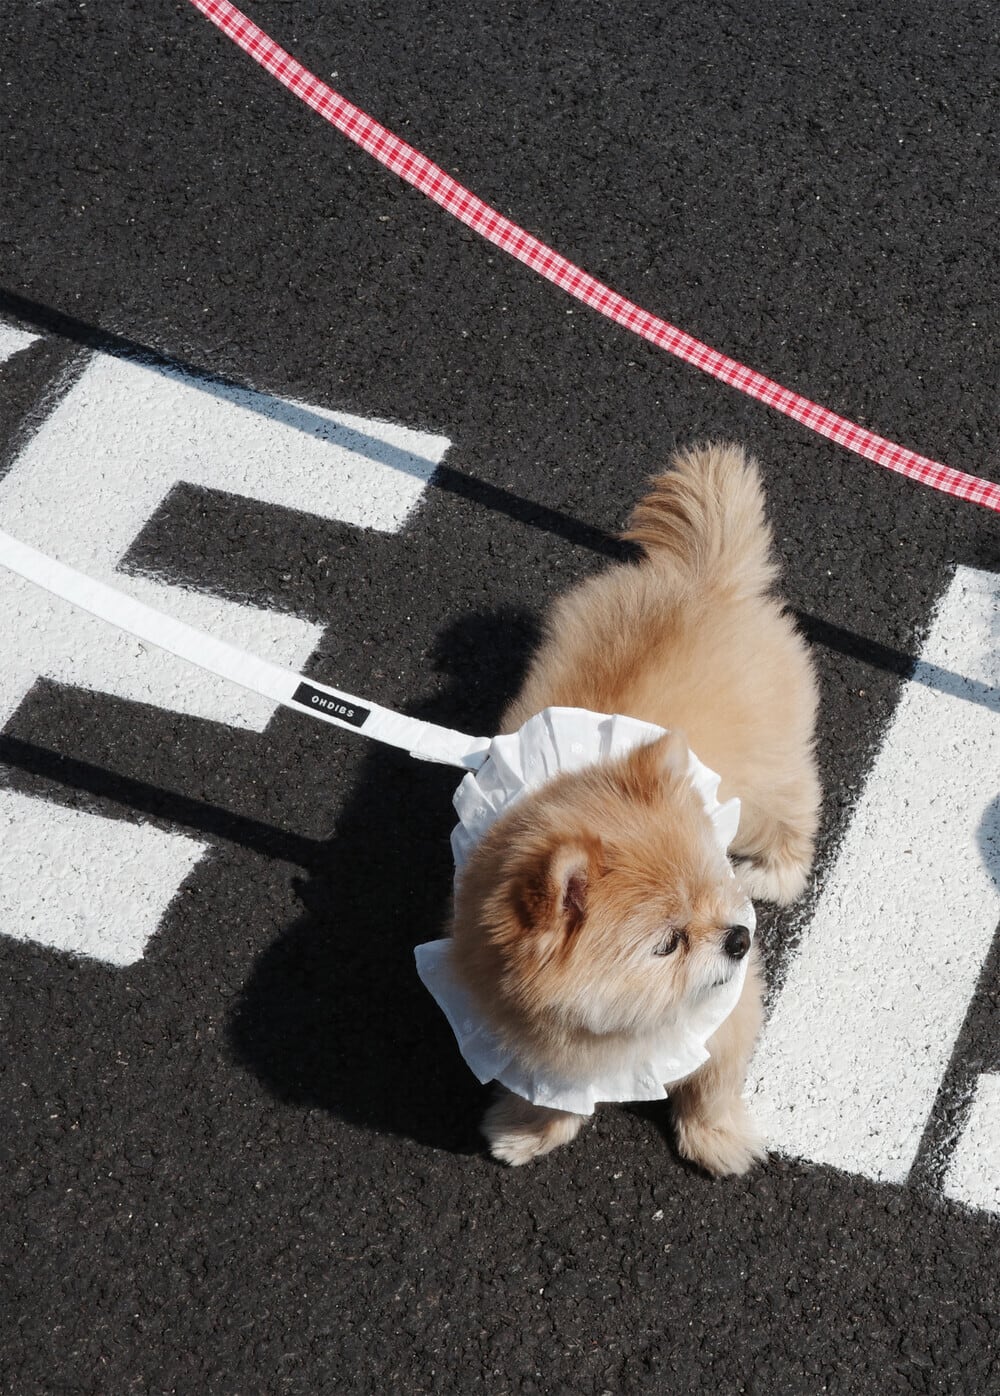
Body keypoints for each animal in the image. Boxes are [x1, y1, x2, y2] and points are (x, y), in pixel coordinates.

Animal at [446, 443, 820, 1173]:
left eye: (713, 893)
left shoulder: (728, 1012)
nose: (740, 936)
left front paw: (717, 1138)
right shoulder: (538, 1045)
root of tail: (703, 576)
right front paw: (527, 1131)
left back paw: (778, 871)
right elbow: (553, 1096)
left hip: (768, 780)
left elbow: (714, 1082)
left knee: (797, 809)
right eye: (668, 942)